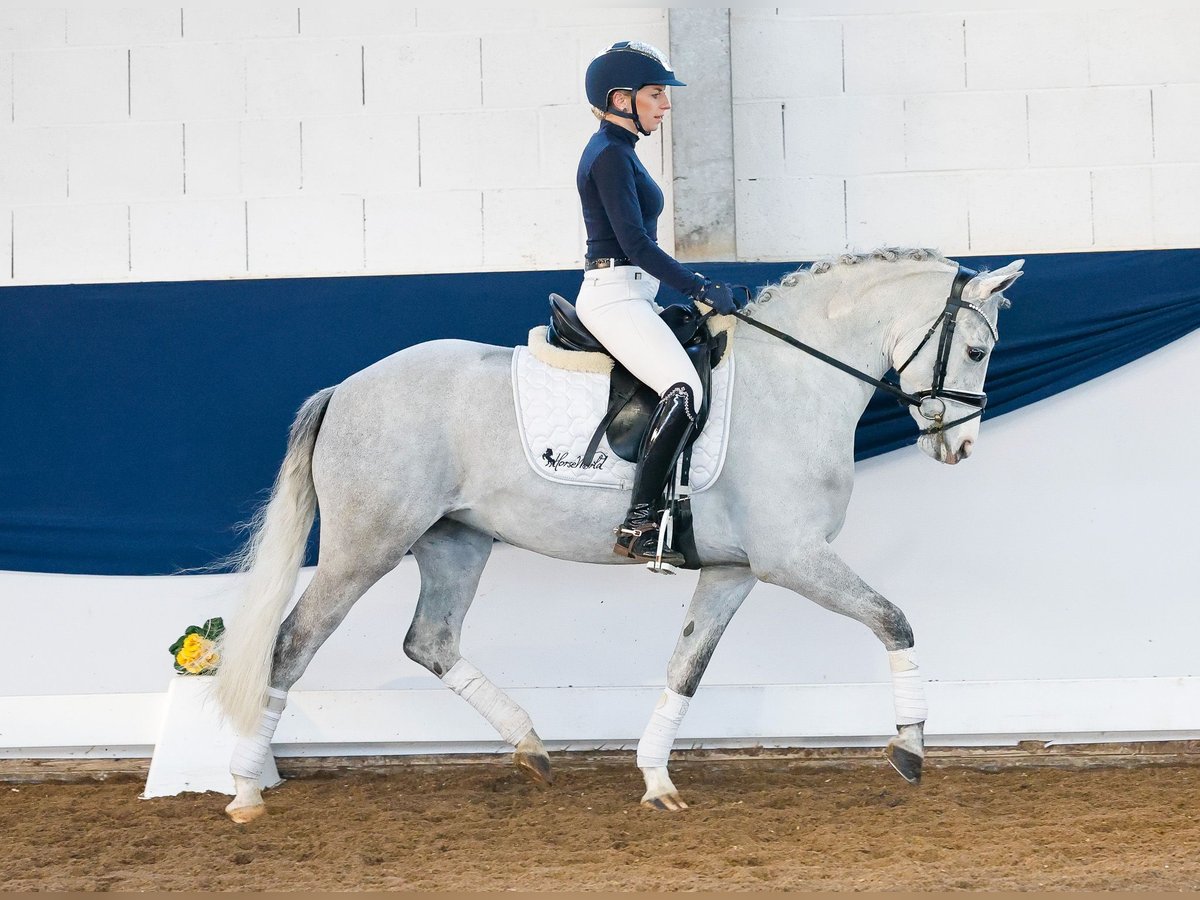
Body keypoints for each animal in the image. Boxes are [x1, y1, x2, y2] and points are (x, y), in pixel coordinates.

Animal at [213, 248, 1022, 825]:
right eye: (978, 352)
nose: (959, 446)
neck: (796, 382)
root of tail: (346, 388)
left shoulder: (735, 570)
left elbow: (686, 666)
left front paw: (657, 779)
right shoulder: (794, 558)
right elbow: (893, 620)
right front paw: (910, 747)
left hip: (455, 542)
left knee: (429, 640)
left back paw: (531, 745)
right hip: (366, 546)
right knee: (293, 644)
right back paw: (245, 791)